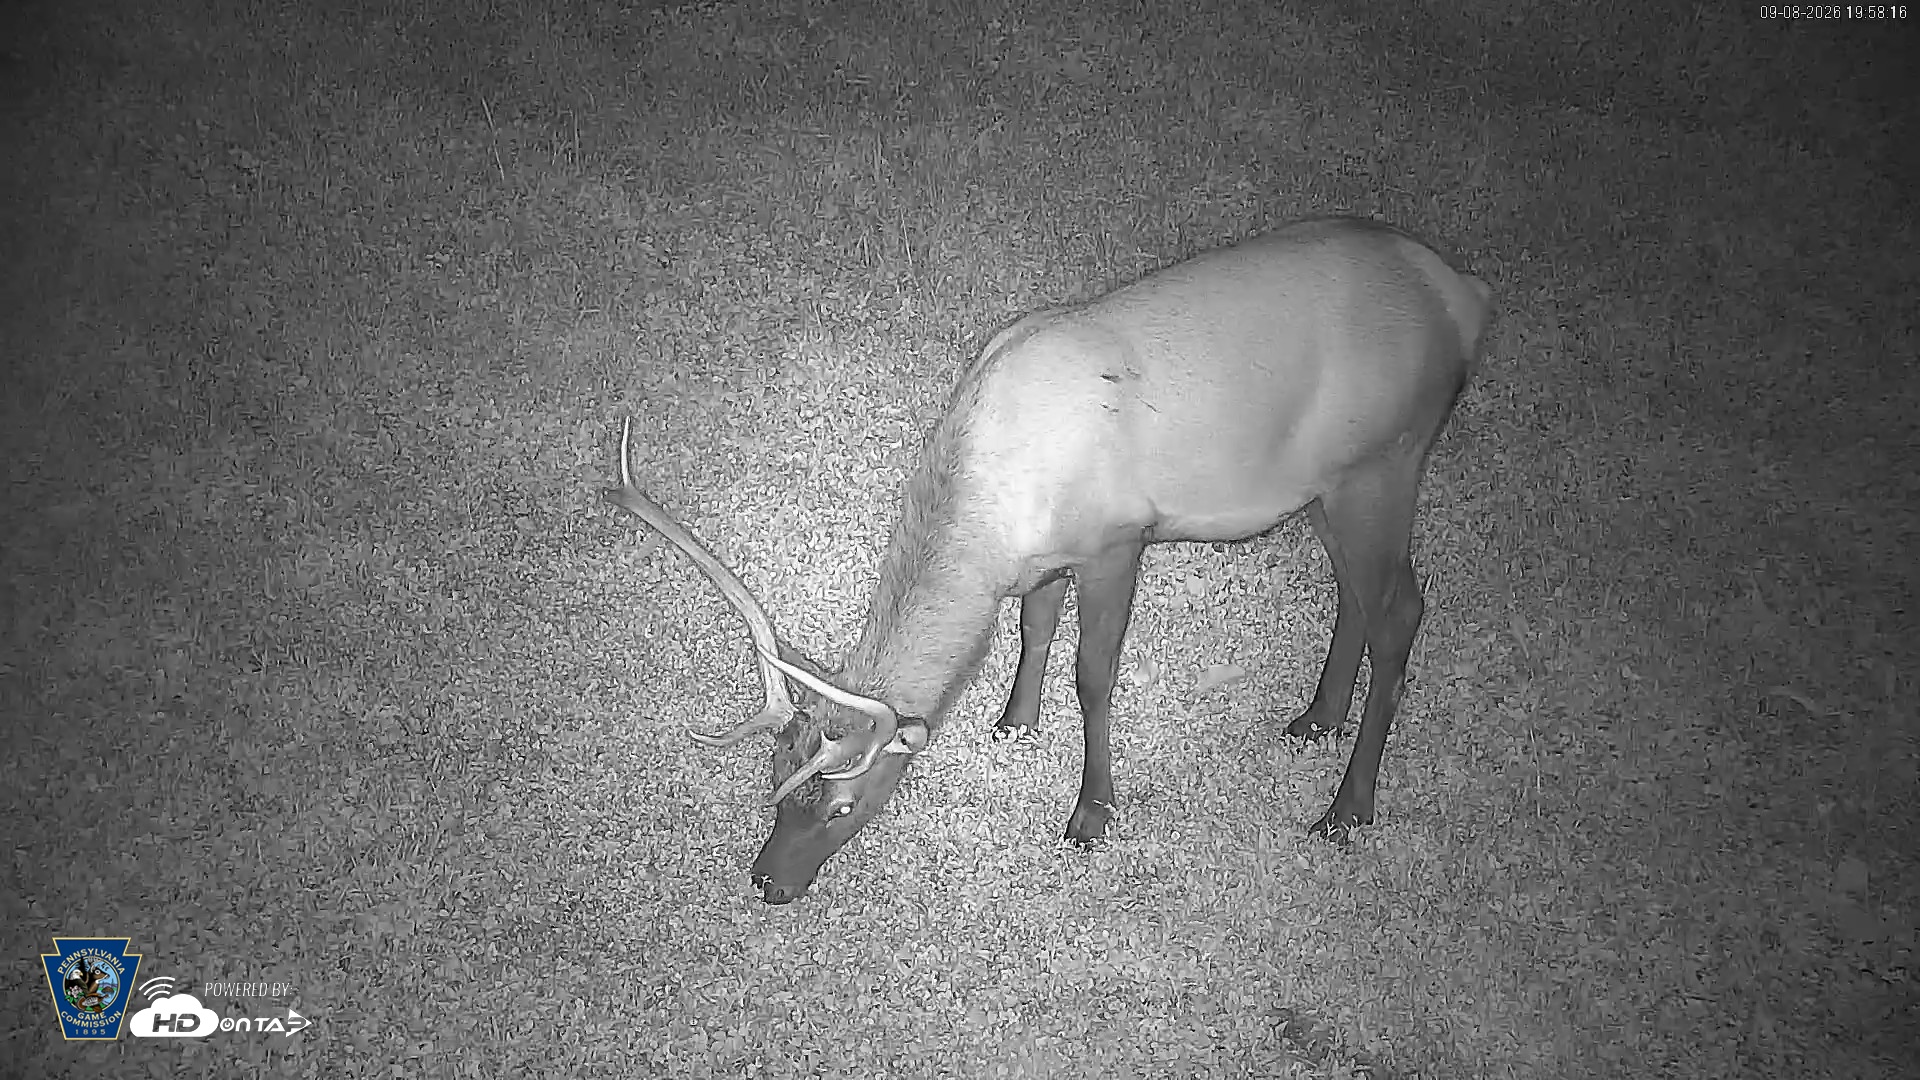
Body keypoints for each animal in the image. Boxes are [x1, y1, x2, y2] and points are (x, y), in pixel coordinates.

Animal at [607, 216, 1493, 904]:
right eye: (773, 789)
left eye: (842, 807)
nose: (767, 882)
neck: (999, 507)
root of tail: (1461, 294)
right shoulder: (1044, 561)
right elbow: (1034, 630)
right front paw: (1014, 721)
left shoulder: (1118, 540)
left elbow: (1093, 672)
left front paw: (1091, 814)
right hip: (1329, 487)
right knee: (1358, 596)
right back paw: (1315, 719)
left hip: (1387, 459)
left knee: (1403, 609)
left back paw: (1347, 810)